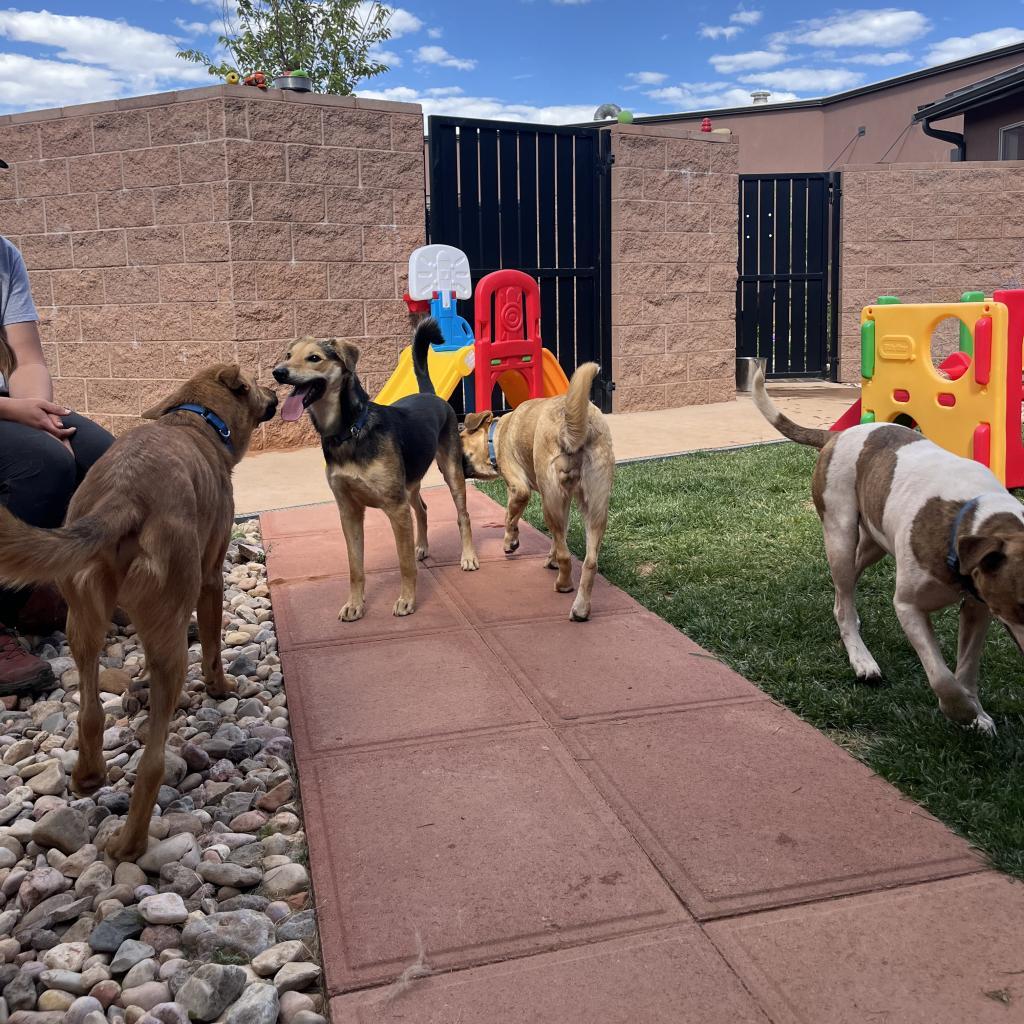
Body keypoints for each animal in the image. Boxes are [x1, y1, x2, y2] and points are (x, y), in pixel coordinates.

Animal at [0, 364, 276, 860]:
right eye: (255, 386)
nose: (279, 390)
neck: (196, 419)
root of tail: (123, 497)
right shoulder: (210, 579)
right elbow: (212, 644)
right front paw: (222, 688)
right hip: (171, 634)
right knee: (151, 762)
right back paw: (130, 844)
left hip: (81, 622)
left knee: (90, 714)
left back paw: (88, 777)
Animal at [272, 319, 479, 618]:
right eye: (288, 355)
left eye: (314, 358)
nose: (278, 372)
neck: (348, 431)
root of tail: (430, 395)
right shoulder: (349, 512)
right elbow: (355, 567)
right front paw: (354, 605)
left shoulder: (396, 507)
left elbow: (404, 564)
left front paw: (407, 600)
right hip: (410, 483)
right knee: (423, 509)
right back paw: (421, 546)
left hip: (450, 472)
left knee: (463, 515)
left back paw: (469, 557)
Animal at [458, 364, 614, 618]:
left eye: (460, 437)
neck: (496, 434)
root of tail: (572, 426)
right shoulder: (564, 501)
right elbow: (561, 537)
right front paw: (550, 556)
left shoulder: (518, 489)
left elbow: (509, 518)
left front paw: (510, 542)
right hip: (595, 506)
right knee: (590, 561)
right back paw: (580, 608)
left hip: (549, 502)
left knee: (567, 556)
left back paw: (564, 585)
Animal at [749, 368, 1024, 737]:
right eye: (1023, 603)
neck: (971, 518)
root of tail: (838, 435)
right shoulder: (908, 606)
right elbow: (941, 676)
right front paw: (959, 710)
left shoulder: (979, 608)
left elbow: (966, 669)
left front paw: (976, 713)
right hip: (840, 533)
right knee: (844, 599)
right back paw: (862, 660)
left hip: (873, 544)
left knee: (845, 592)